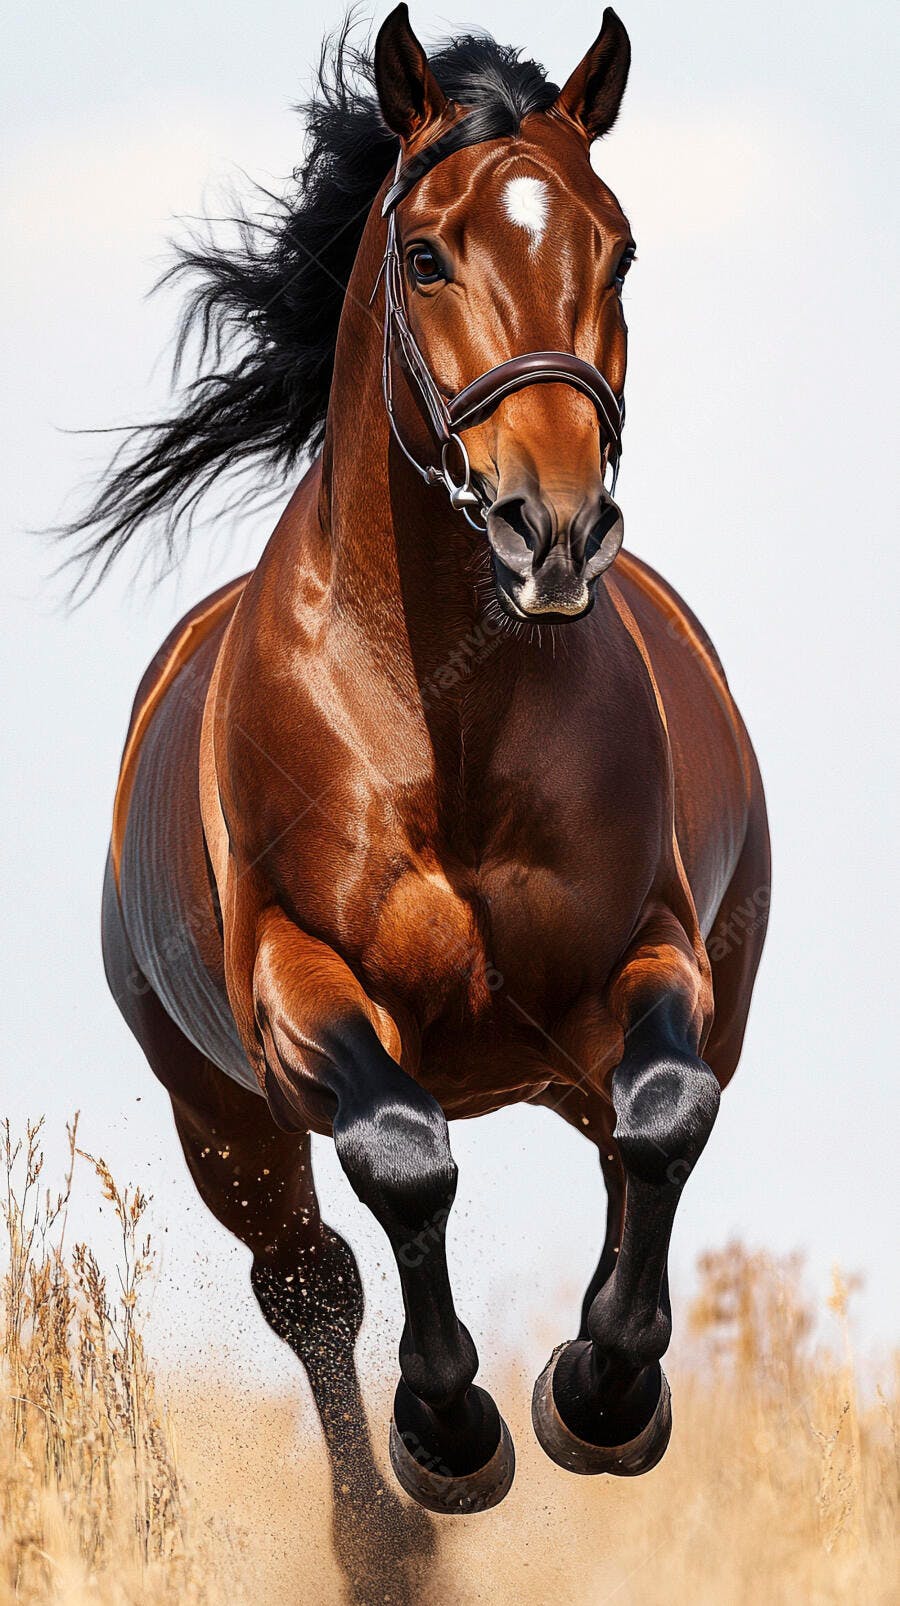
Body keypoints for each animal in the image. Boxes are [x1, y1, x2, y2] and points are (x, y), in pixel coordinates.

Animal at [66, 7, 770, 1599]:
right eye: (431, 254)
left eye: (619, 247)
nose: (551, 525)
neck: (445, 715)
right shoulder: (294, 986)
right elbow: (402, 1153)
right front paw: (451, 1438)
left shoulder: (653, 956)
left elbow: (666, 1116)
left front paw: (599, 1398)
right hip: (221, 1115)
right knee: (311, 1282)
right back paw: (386, 1539)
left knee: (624, 1146)